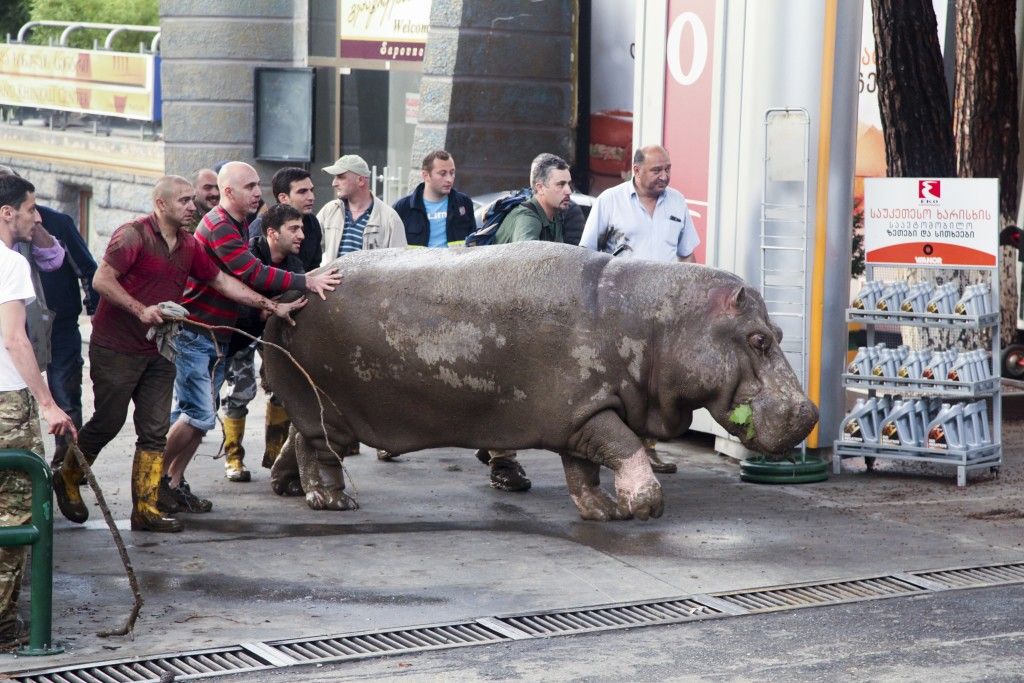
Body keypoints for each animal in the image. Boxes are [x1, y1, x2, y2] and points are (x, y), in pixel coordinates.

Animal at [262, 242, 815, 520]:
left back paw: (287, 487)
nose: (809, 413)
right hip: (326, 408)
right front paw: (646, 507)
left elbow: (585, 469)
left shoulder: (582, 414)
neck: (660, 321)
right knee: (316, 449)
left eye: (781, 333)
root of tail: (294, 290)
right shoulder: (590, 410)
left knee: (296, 439)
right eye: (759, 340)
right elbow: (626, 446)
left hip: (324, 408)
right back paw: (331, 501)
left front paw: (604, 511)